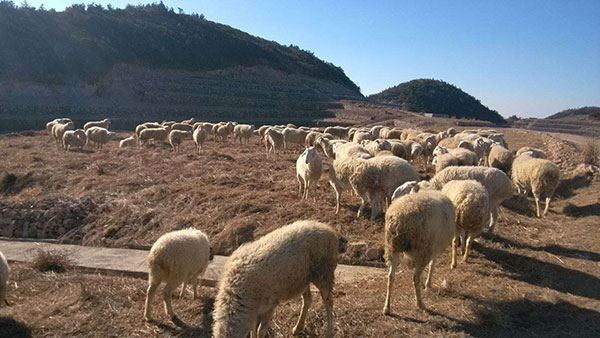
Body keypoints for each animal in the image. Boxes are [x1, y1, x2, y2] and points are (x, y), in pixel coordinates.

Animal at [213, 220, 344, 336]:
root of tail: (329, 230)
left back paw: (330, 332)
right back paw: (298, 328)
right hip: (302, 278)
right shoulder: (253, 310)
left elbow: (260, 331)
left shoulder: (269, 305)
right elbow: (253, 330)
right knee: (308, 299)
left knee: (328, 302)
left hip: (324, 273)